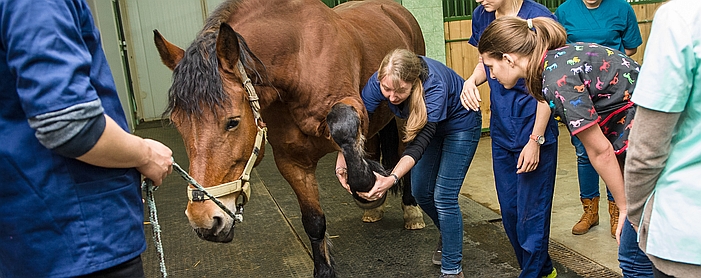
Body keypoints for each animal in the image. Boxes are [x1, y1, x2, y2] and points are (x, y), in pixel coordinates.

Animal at [154, 1, 422, 276]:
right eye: (177, 124)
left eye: (233, 121)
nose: (204, 220)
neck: (299, 61)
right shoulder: (292, 162)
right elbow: (314, 221)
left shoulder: (353, 104)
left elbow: (343, 124)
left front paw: (368, 183)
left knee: (405, 153)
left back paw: (411, 210)